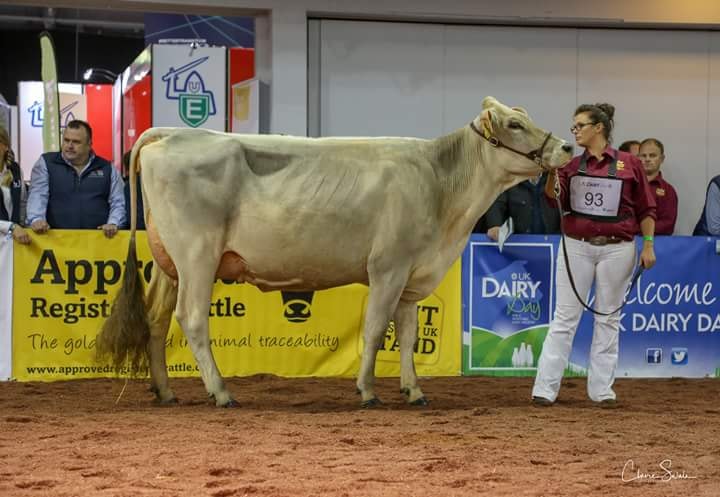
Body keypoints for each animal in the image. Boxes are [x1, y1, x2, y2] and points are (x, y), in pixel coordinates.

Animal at [96, 96, 573, 408]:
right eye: (514, 125)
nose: (566, 147)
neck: (442, 191)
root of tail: (173, 133)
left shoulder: (413, 276)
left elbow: (408, 336)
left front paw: (413, 390)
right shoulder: (388, 267)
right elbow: (375, 330)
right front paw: (367, 390)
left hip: (169, 264)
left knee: (157, 321)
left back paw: (165, 391)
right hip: (199, 255)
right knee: (192, 318)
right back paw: (222, 392)